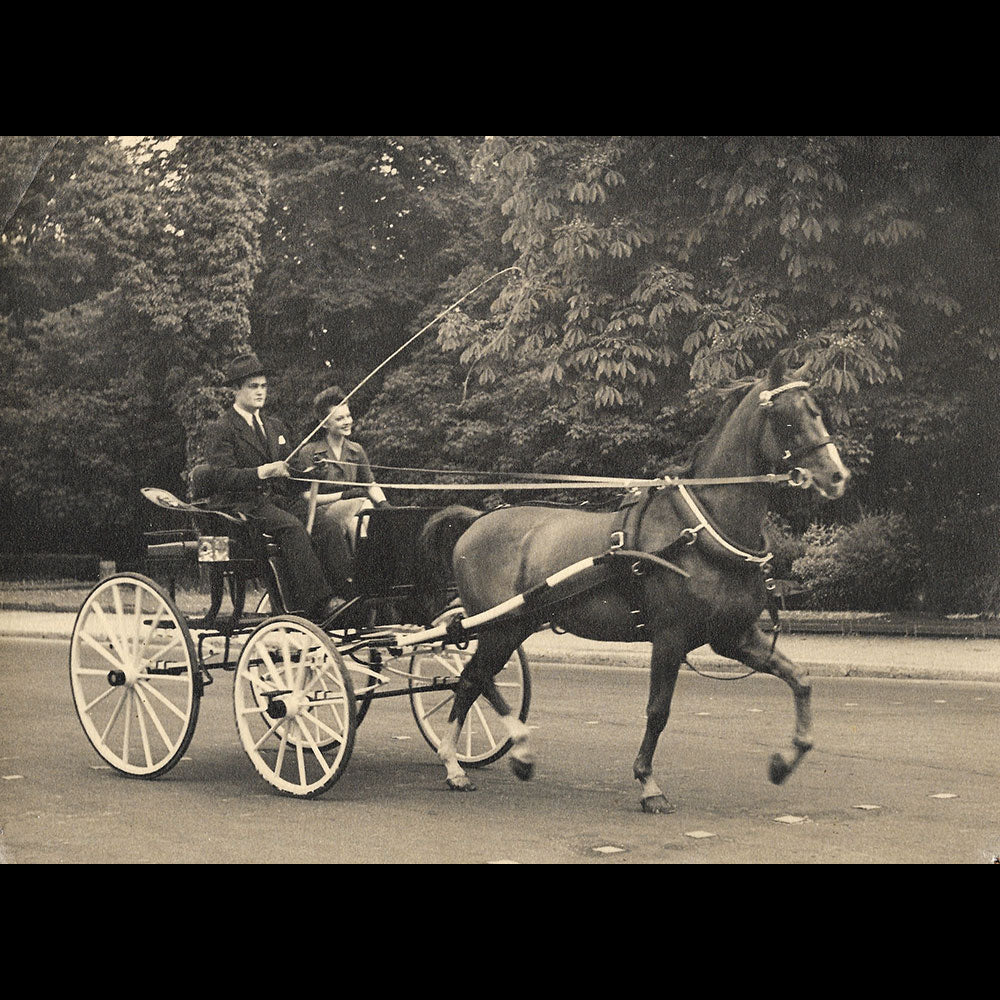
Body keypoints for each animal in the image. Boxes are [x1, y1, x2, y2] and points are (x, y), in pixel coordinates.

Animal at [416, 358, 852, 812]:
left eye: (817, 410)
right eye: (788, 418)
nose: (838, 476)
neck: (699, 529)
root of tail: (477, 521)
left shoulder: (733, 636)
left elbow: (799, 678)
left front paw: (785, 761)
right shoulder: (670, 637)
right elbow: (658, 710)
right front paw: (648, 783)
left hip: (514, 625)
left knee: (470, 680)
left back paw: (457, 762)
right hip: (501, 626)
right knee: (477, 677)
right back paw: (509, 751)